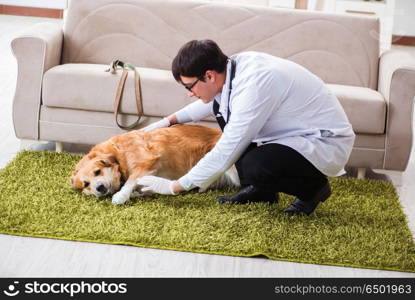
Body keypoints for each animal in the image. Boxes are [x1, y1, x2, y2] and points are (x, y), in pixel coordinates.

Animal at [71, 123, 240, 204]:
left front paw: (120, 196)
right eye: (86, 184)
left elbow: (132, 181)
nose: (99, 188)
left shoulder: (148, 161)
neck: (119, 155)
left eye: (97, 171)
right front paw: (136, 193)